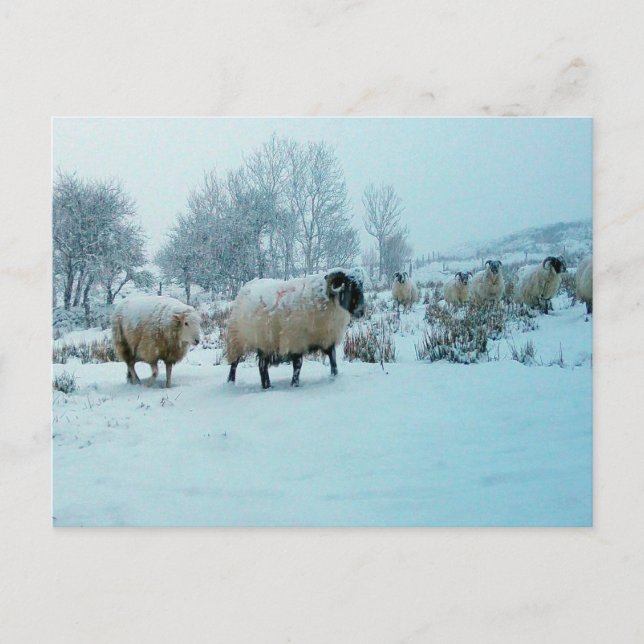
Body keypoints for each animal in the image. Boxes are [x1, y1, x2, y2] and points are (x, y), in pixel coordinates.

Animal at [226, 268, 365, 389]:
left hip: (265, 343)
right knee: (235, 364)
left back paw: (267, 386)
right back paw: (231, 382)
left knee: (262, 366)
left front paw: (334, 377)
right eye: (349, 286)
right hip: (237, 341)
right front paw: (295, 384)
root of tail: (246, 287)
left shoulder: (327, 339)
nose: (361, 312)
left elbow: (333, 360)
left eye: (361, 286)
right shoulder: (296, 340)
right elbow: (298, 365)